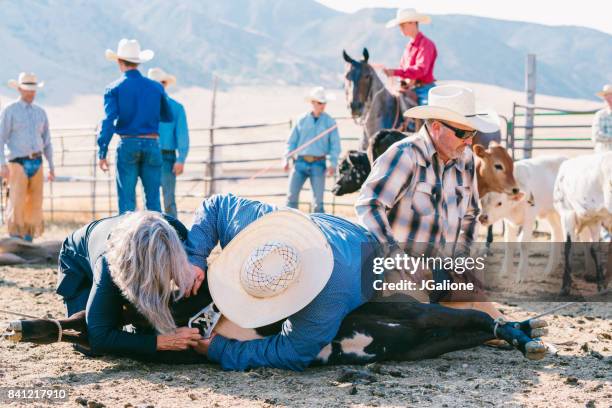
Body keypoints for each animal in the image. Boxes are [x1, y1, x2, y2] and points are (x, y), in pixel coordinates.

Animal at [478, 156, 568, 284]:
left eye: (499, 203)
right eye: (482, 201)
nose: (483, 218)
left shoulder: (529, 219)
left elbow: (524, 243)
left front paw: (521, 275)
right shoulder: (509, 222)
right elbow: (509, 242)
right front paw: (505, 272)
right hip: (552, 213)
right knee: (557, 233)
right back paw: (549, 270)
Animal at [552, 151, 608, 294]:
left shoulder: (567, 214)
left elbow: (568, 247)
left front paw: (565, 287)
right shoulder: (595, 220)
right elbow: (595, 248)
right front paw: (601, 285)